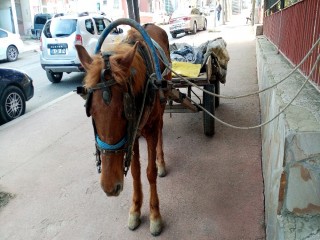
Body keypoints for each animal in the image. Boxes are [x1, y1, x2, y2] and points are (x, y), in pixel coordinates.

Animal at [75, 23, 171, 235]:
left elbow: (149, 172)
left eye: (124, 112)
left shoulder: (149, 128)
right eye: (91, 112)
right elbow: (135, 171)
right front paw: (135, 209)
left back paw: (161, 161)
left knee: (161, 130)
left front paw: (155, 215)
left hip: (162, 104)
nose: (110, 186)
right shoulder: (132, 134)